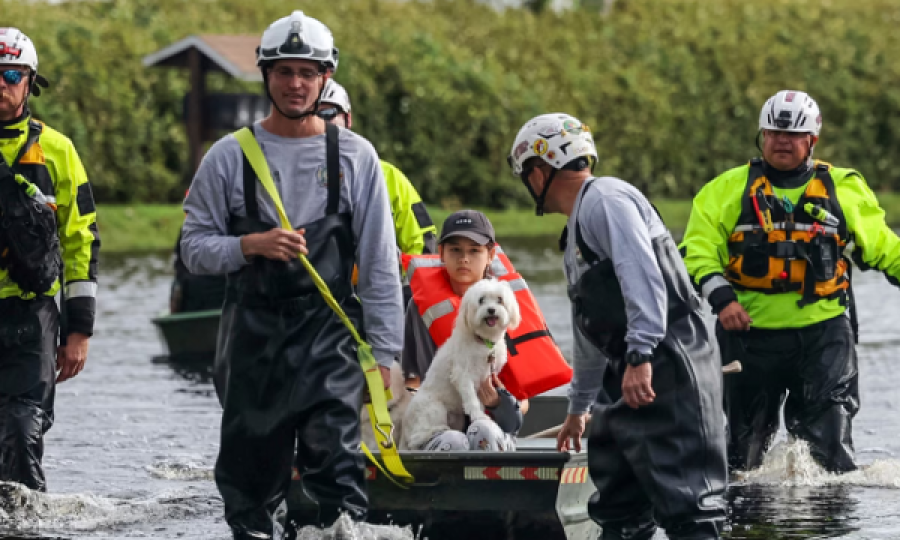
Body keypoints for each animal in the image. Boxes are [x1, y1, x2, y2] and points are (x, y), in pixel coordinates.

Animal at [400, 278, 520, 452]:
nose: (491, 310)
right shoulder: (463, 375)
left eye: (500, 299)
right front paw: (479, 415)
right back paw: (435, 430)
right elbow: (471, 398)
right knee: (417, 438)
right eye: (481, 300)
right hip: (434, 408)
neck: (483, 343)